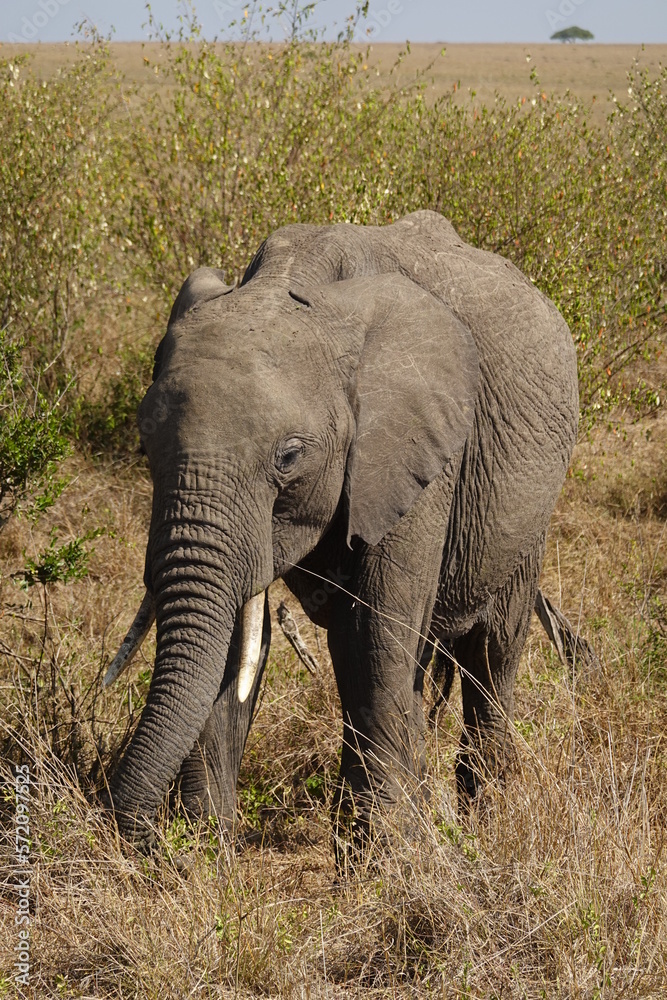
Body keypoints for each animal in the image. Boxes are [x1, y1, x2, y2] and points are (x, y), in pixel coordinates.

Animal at [103, 209, 579, 849]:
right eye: (145, 446)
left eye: (289, 457)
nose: (148, 839)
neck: (293, 284)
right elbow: (239, 637)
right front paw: (205, 850)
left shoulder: (417, 454)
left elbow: (375, 634)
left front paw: (384, 859)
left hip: (528, 513)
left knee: (491, 653)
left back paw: (483, 821)